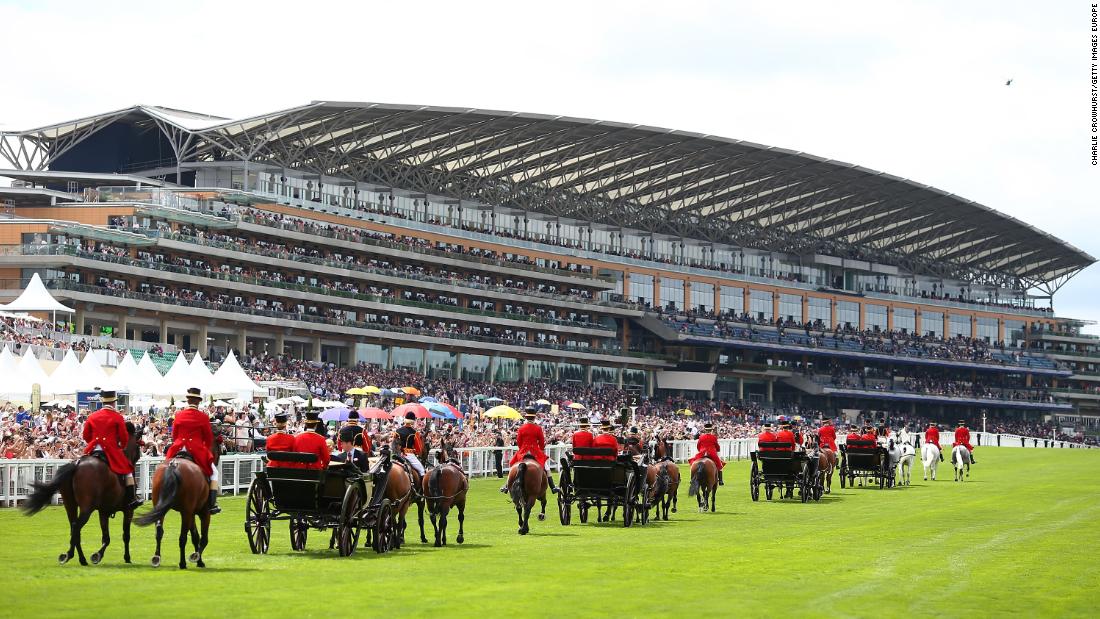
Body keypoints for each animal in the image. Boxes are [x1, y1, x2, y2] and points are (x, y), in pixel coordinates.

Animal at [21, 424, 143, 562]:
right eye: (138, 447)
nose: (135, 461)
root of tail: (77, 463)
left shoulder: (104, 512)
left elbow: (106, 538)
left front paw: (98, 555)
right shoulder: (128, 510)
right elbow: (125, 536)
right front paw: (126, 557)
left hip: (70, 506)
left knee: (74, 528)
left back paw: (80, 558)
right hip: (86, 509)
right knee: (76, 528)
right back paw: (69, 555)